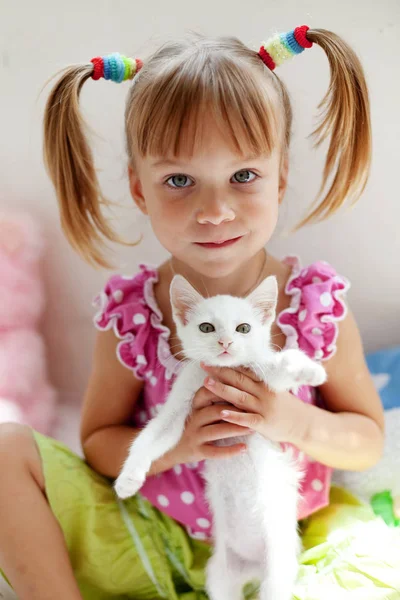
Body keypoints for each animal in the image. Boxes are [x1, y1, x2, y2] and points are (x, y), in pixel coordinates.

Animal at [114, 274, 326, 596]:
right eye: (206, 328)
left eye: (244, 328)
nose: (225, 342)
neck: (219, 372)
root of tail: (252, 569)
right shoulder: (181, 402)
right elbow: (152, 436)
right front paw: (129, 478)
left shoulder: (260, 377)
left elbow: (282, 365)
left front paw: (309, 369)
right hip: (220, 576)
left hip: (278, 570)